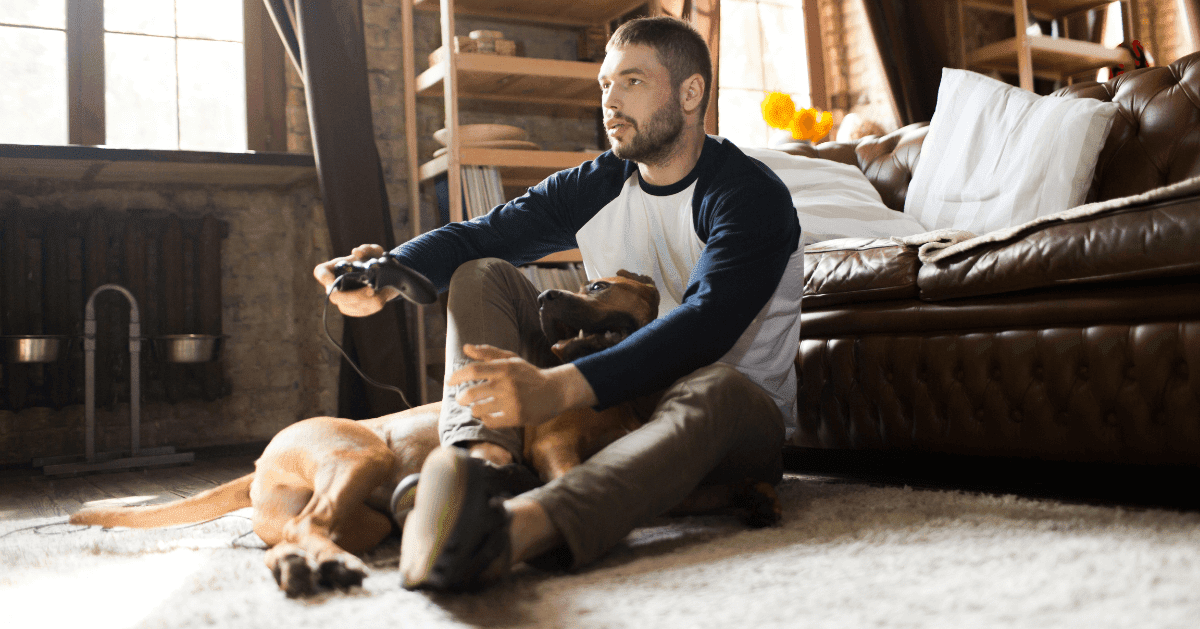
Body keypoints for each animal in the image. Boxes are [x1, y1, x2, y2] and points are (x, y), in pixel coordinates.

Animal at [70, 270, 782, 595]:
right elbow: (572, 474)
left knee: (305, 531)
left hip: (365, 516)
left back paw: (306, 563)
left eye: (599, 285)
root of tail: (256, 466)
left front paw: (757, 495)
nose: (546, 298)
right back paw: (325, 565)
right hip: (354, 454)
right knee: (311, 523)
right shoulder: (555, 444)